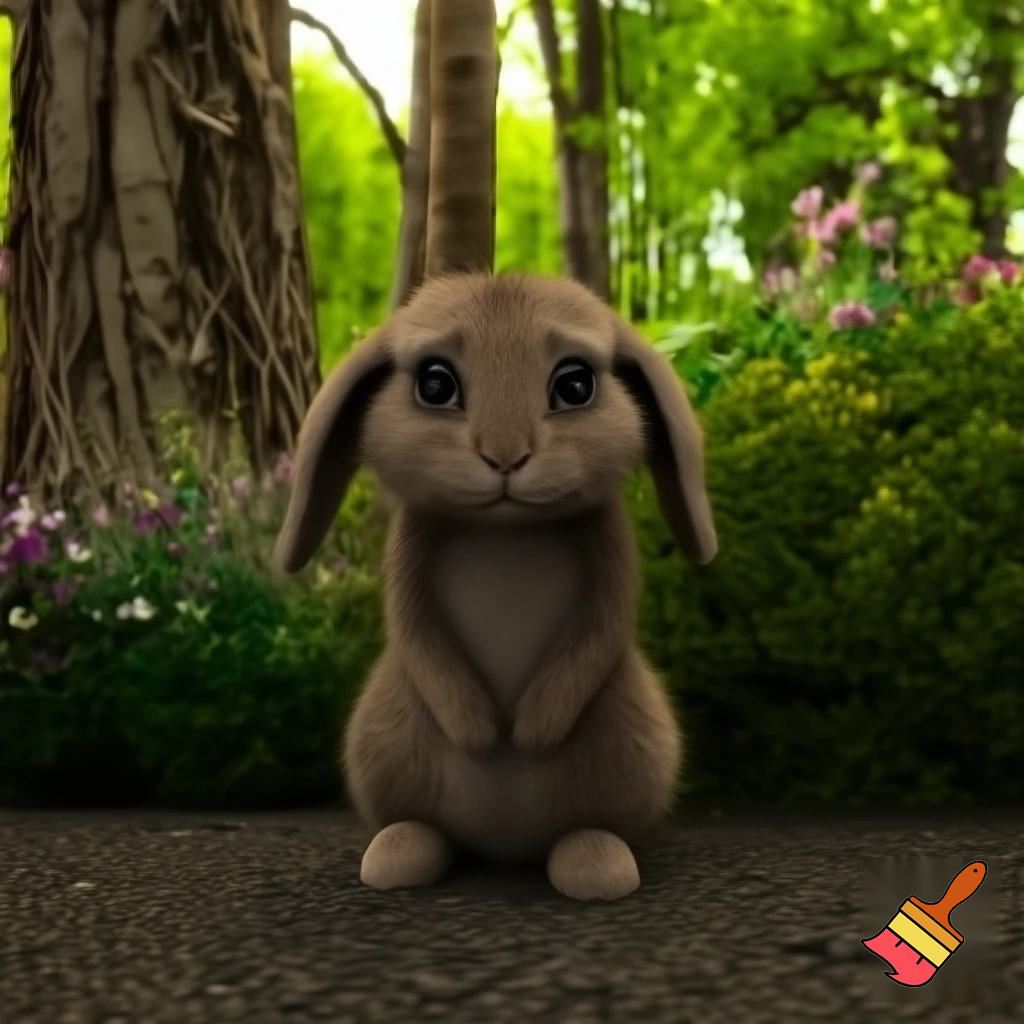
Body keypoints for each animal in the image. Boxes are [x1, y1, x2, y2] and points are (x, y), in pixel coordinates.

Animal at [274, 272, 717, 901]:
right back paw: (399, 854)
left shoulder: (610, 557)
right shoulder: (410, 553)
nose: (505, 457)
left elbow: (600, 630)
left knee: (593, 826)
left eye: (576, 384)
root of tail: (506, 849)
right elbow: (414, 628)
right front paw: (478, 729)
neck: (506, 530)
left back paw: (597, 864)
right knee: (422, 823)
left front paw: (534, 731)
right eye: (435, 383)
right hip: (383, 743)